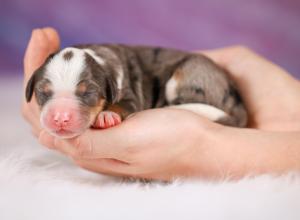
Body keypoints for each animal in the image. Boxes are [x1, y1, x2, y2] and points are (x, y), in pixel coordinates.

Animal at [25, 43, 246, 138]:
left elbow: (123, 105)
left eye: (88, 93)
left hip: (188, 75)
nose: (60, 118)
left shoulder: (130, 95)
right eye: (43, 92)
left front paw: (106, 115)